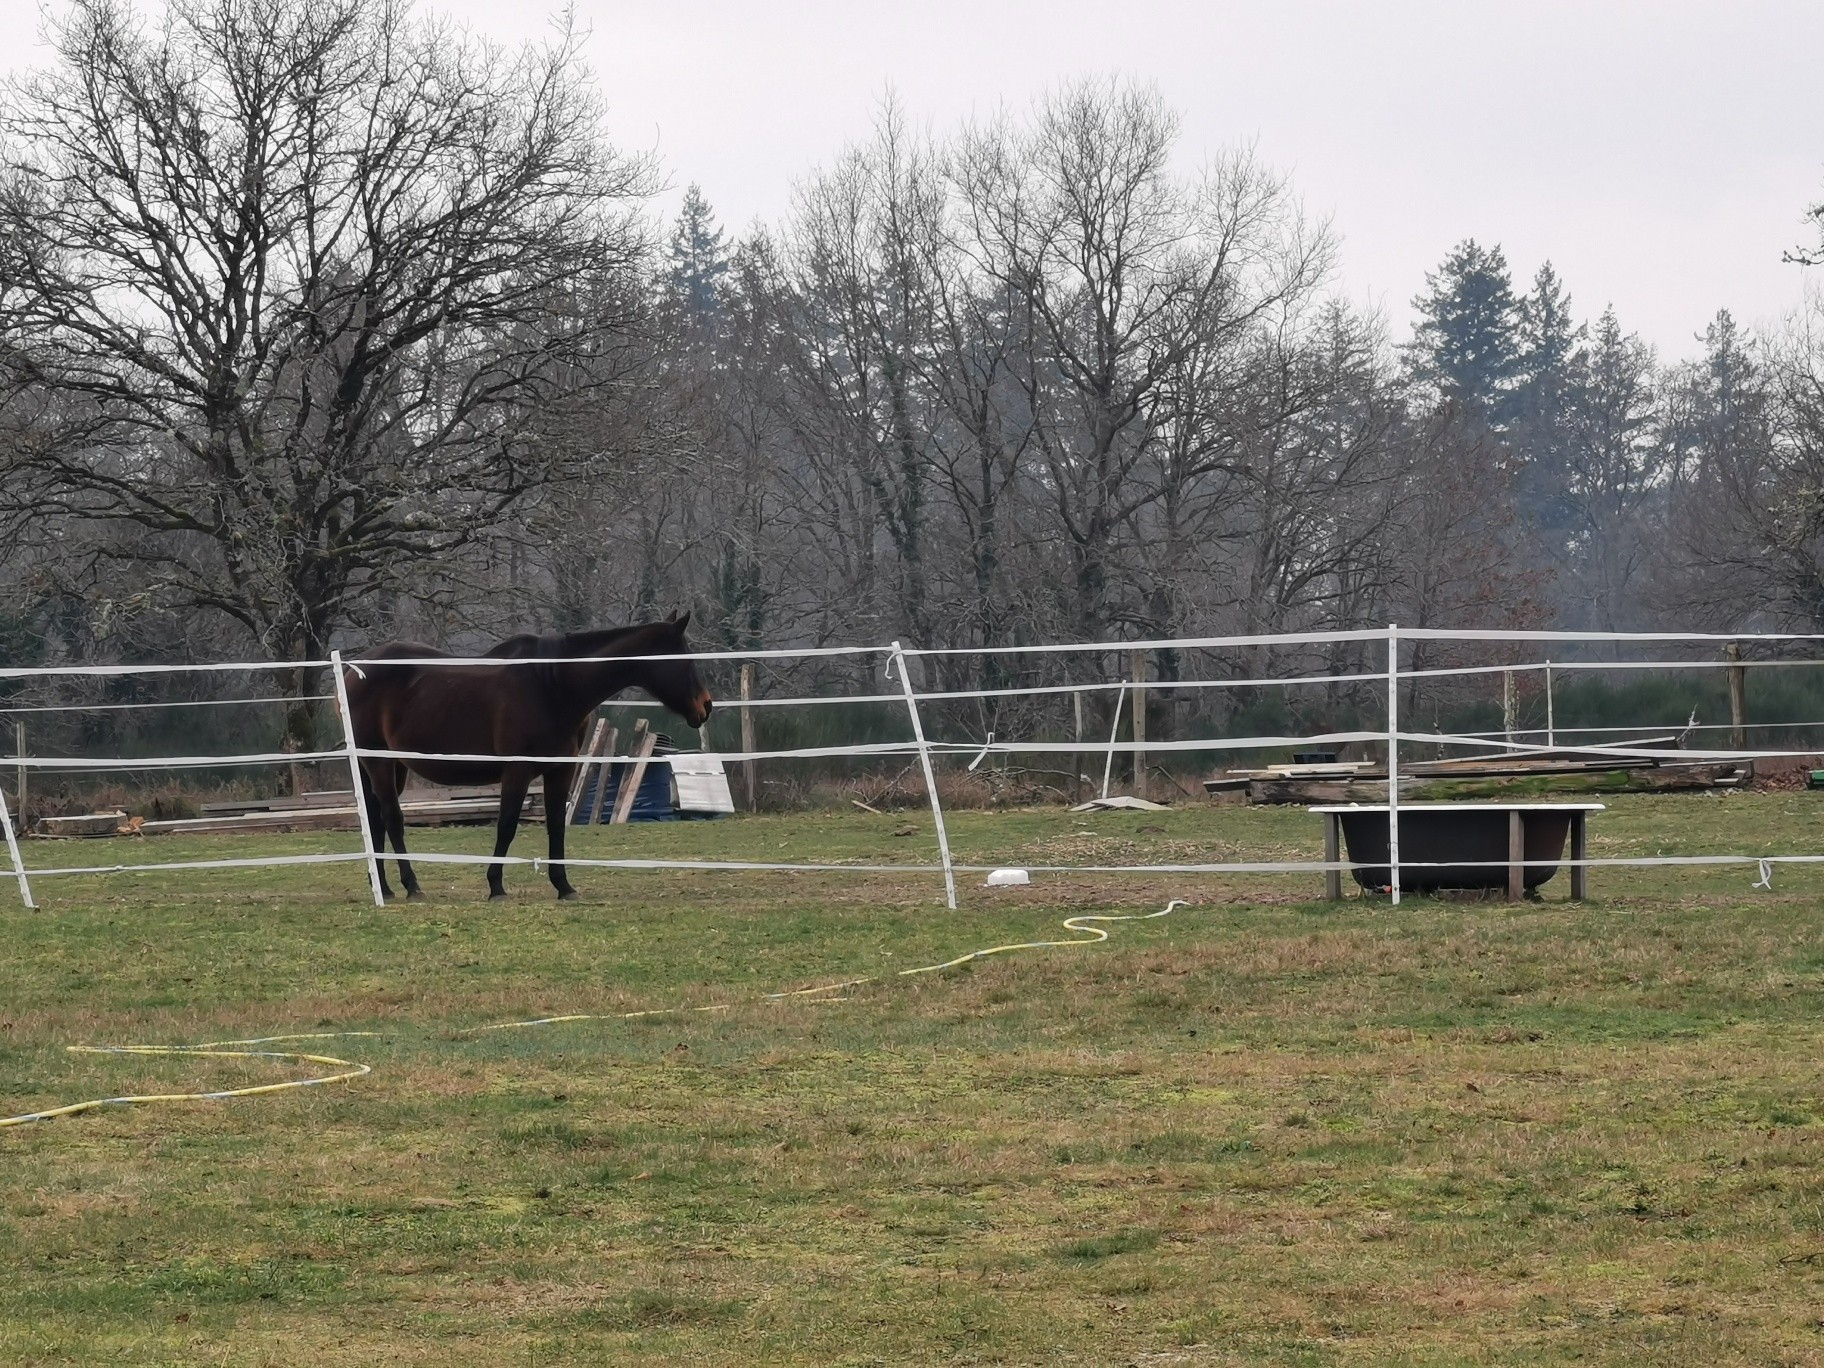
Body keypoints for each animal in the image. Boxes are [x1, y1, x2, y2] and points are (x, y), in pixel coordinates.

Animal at [342, 620, 711, 901]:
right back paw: (411, 886)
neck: (552, 684)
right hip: (378, 763)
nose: (705, 706)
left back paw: (384, 888)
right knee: (392, 819)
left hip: (391, 766)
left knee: (375, 820)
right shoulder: (517, 771)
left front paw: (564, 886)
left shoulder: (560, 771)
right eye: (685, 659)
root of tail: (353, 671)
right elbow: (506, 826)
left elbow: (556, 826)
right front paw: (495, 887)